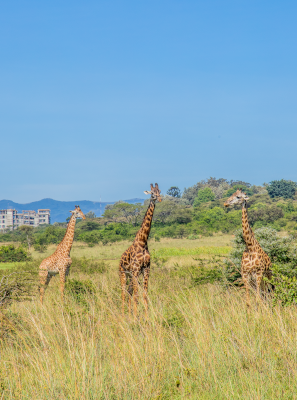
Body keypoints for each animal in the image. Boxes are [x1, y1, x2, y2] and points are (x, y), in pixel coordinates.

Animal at [118, 184, 162, 318]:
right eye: (152, 193)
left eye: (159, 191)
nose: (159, 199)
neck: (143, 242)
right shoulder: (136, 269)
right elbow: (137, 295)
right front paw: (136, 318)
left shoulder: (146, 268)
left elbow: (144, 294)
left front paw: (146, 318)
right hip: (123, 274)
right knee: (123, 293)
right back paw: (123, 316)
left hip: (131, 275)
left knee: (129, 292)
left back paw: (129, 314)